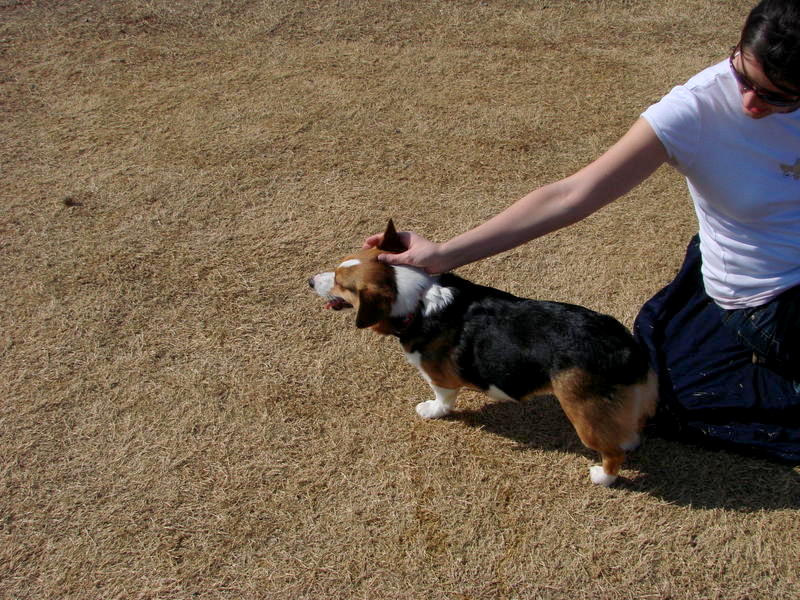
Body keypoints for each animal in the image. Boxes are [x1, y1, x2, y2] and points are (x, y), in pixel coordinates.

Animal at [310, 223, 660, 486]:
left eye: (341, 284)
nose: (310, 280)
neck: (418, 300)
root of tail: (626, 349)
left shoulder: (440, 379)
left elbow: (442, 399)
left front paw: (431, 411)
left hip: (583, 415)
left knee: (613, 453)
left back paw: (602, 476)